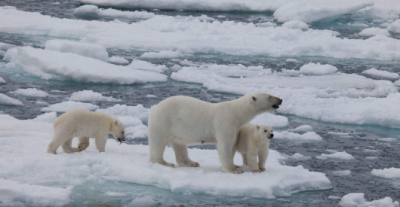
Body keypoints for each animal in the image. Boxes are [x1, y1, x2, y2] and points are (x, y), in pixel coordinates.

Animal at [148, 93, 282, 174]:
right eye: (269, 96)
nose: (280, 100)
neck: (236, 113)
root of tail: (155, 109)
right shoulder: (225, 122)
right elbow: (225, 146)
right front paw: (234, 170)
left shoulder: (236, 128)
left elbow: (233, 145)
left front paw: (236, 165)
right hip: (164, 122)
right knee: (158, 143)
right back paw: (165, 163)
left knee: (179, 144)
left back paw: (192, 162)